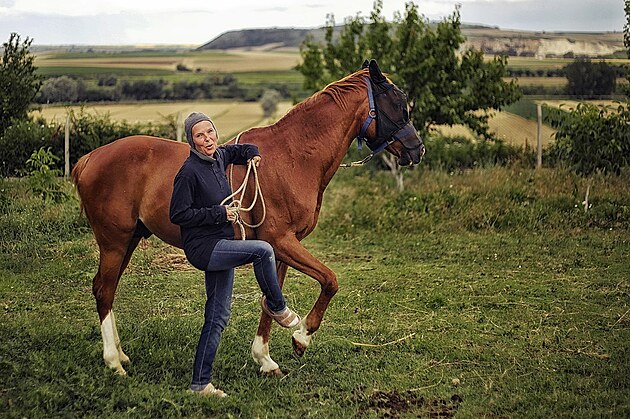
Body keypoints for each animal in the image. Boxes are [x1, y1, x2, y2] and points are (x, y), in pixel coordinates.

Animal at [74, 60, 428, 378]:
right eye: (398, 103)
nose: (418, 149)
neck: (294, 157)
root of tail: (90, 158)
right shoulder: (280, 242)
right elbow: (329, 280)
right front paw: (301, 336)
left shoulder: (282, 249)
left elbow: (271, 299)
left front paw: (265, 358)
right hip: (114, 241)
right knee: (104, 290)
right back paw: (114, 362)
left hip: (130, 239)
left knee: (107, 288)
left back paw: (121, 354)